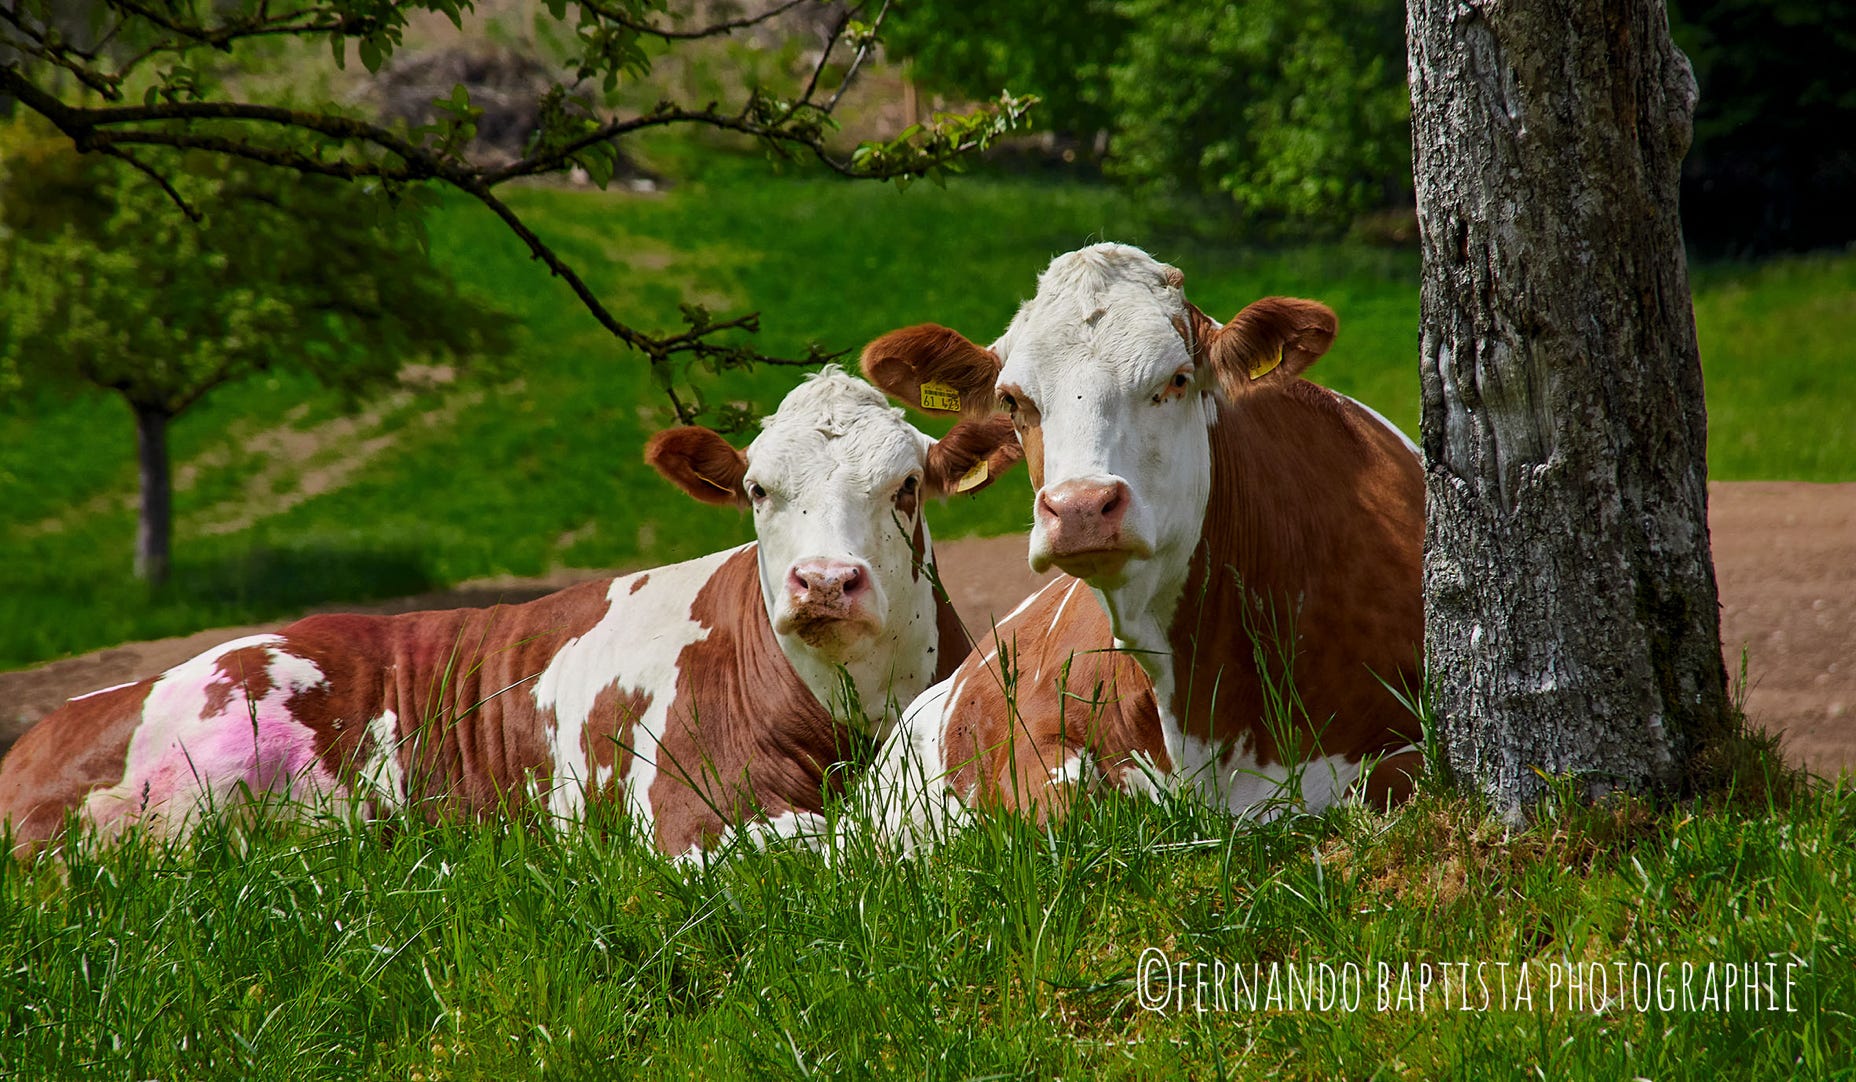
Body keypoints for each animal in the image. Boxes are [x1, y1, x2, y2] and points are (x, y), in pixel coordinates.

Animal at [0, 367, 1021, 858]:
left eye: (906, 487)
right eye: (758, 491)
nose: (824, 581)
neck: (852, 709)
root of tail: (43, 732)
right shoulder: (687, 819)